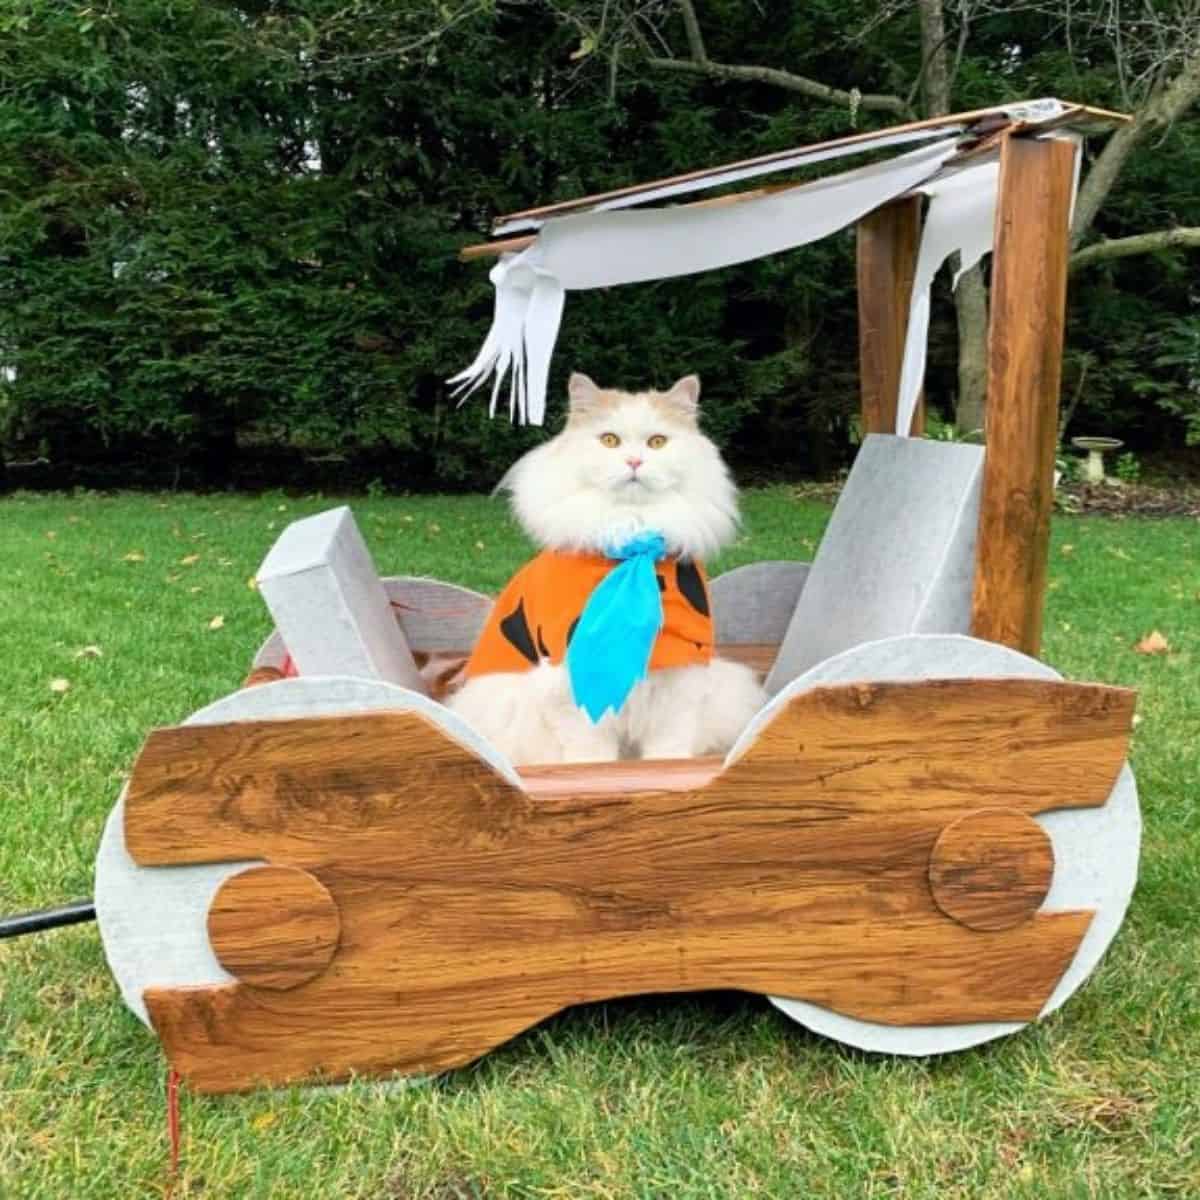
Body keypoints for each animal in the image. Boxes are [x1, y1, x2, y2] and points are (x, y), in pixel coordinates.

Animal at [446, 369, 763, 763]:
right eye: (609, 441)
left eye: (657, 442)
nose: (634, 462)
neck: (632, 544)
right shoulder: (570, 682)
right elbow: (591, 751)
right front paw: (591, 771)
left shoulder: (681, 677)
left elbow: (668, 750)